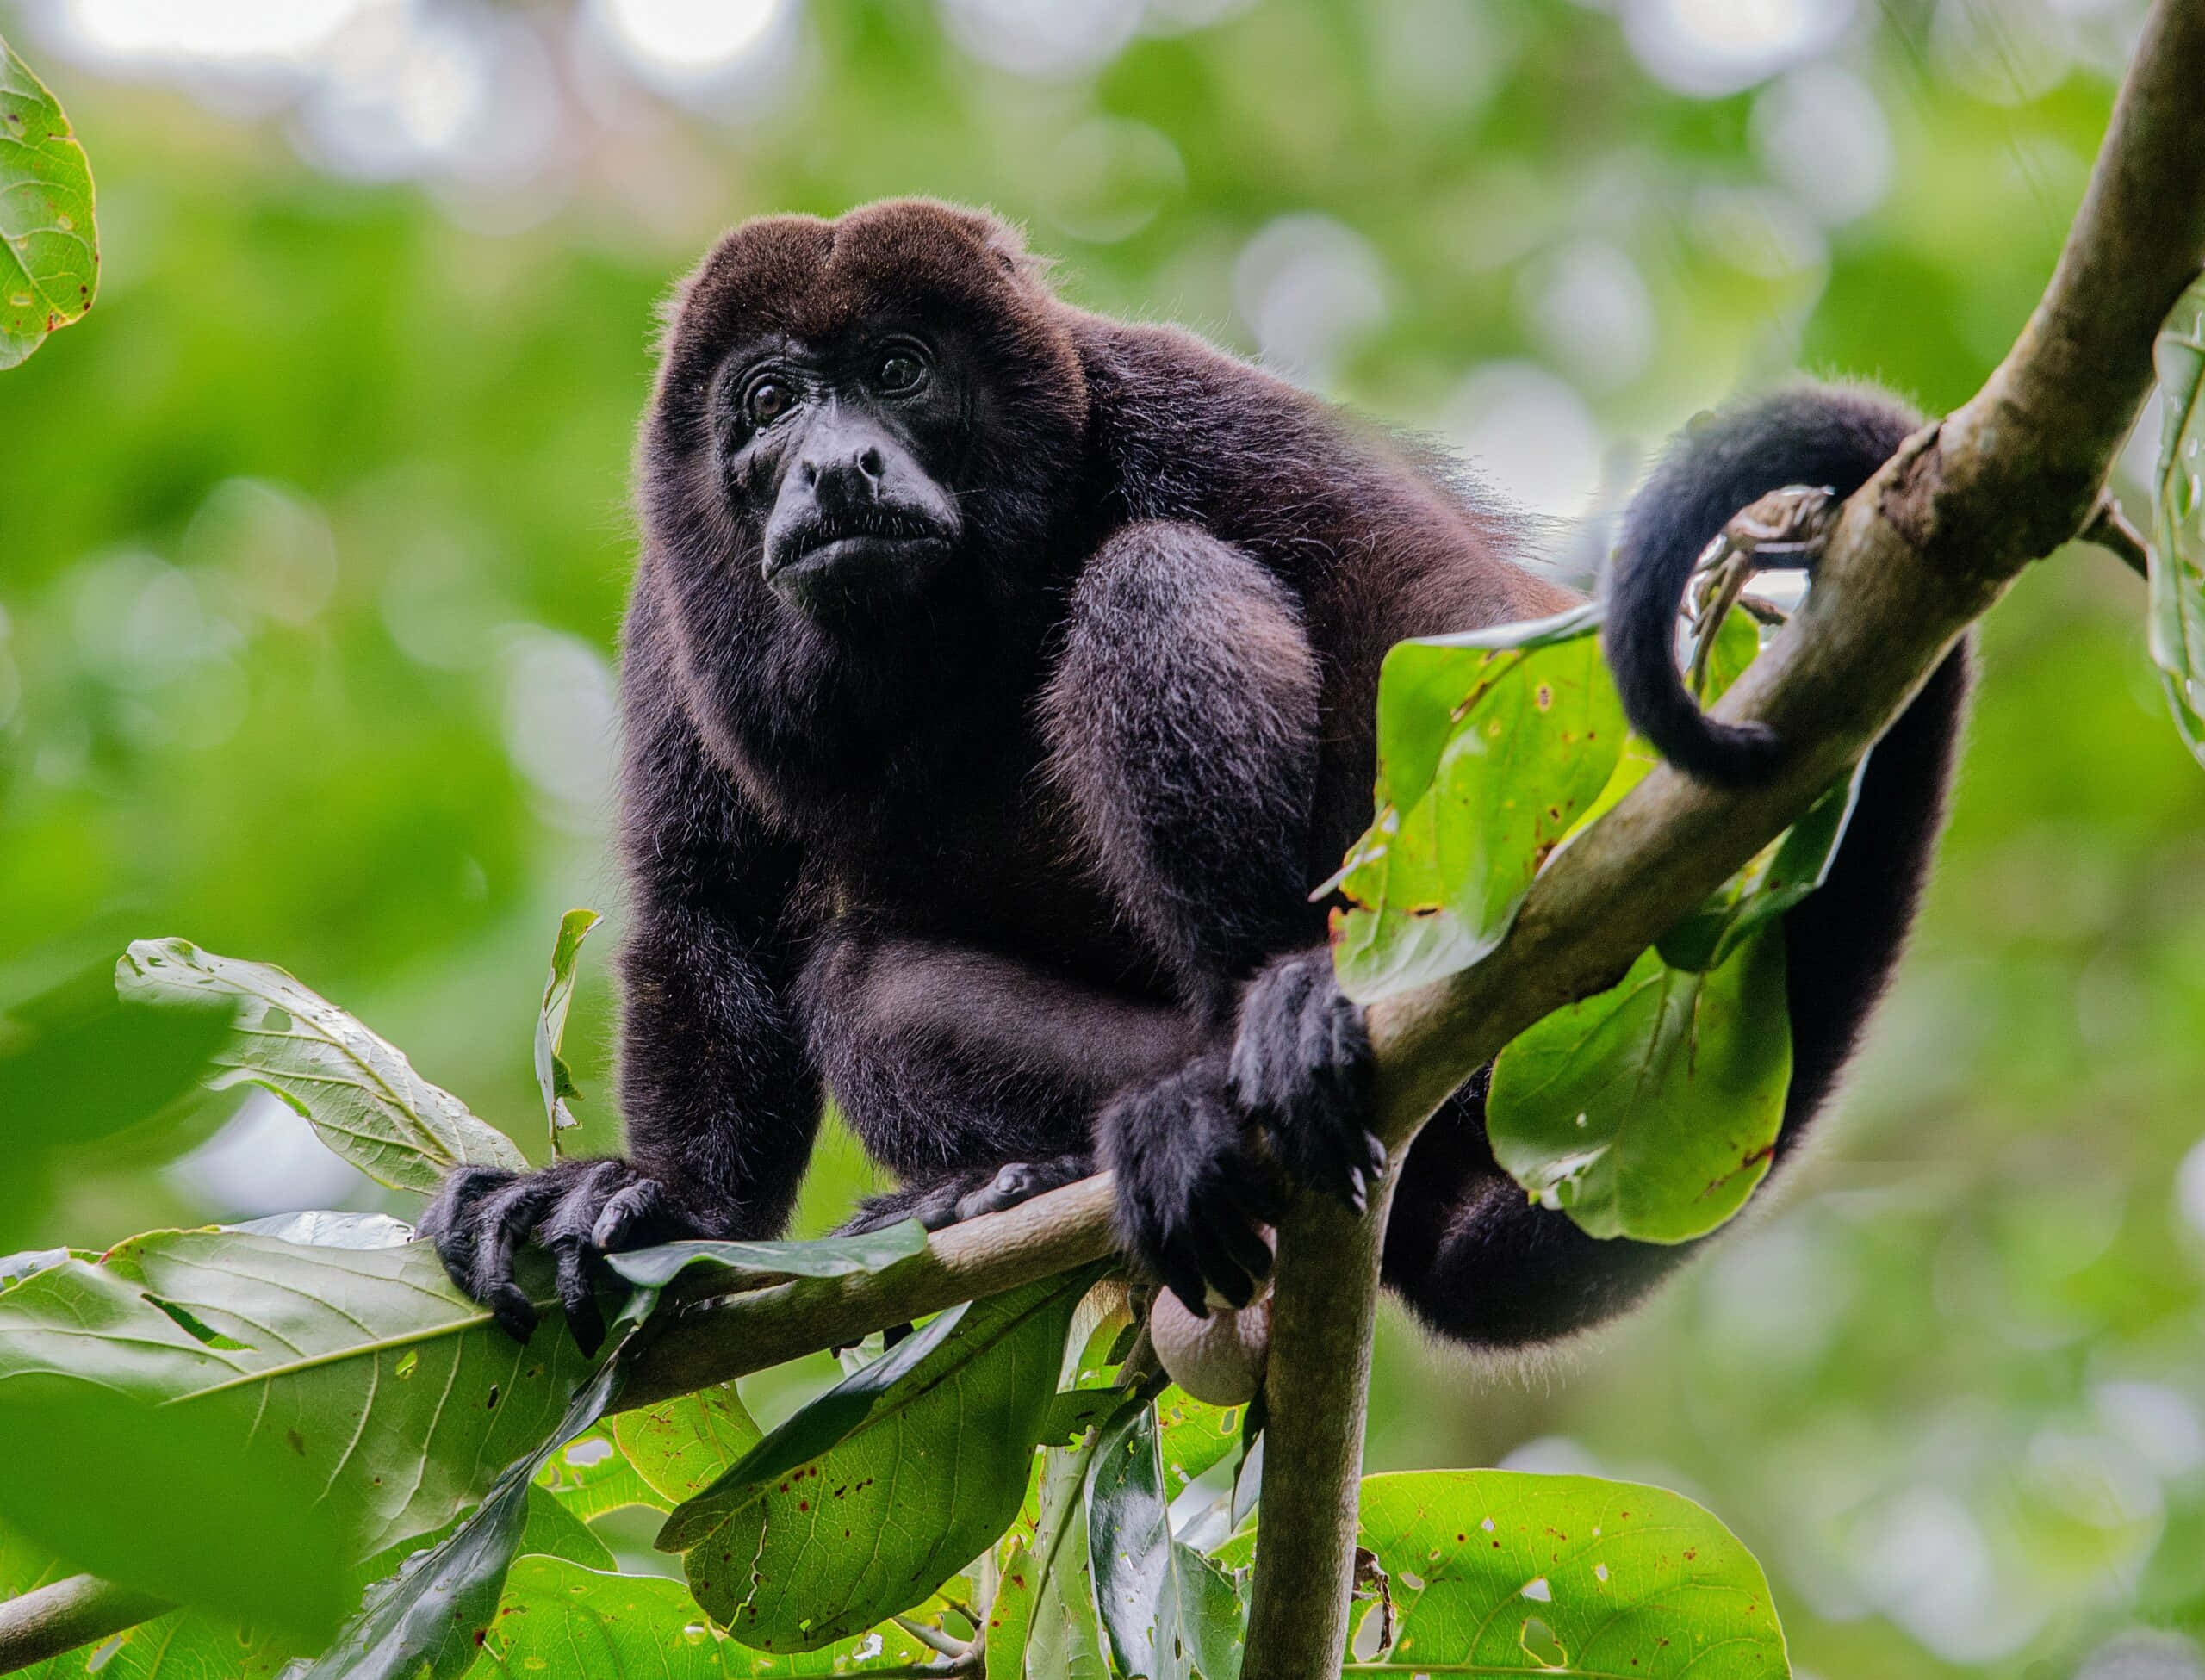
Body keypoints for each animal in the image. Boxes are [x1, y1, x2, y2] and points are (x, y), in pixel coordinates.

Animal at [421, 200, 1967, 1359]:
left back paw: (1259, 1031)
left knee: (1156, 579)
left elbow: (1423, 603)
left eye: (902, 371)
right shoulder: (670, 605)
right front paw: (644, 1202)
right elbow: (708, 908)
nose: (838, 464)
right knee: (864, 986)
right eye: (771, 398)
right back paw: (1045, 1169)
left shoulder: (1170, 397)